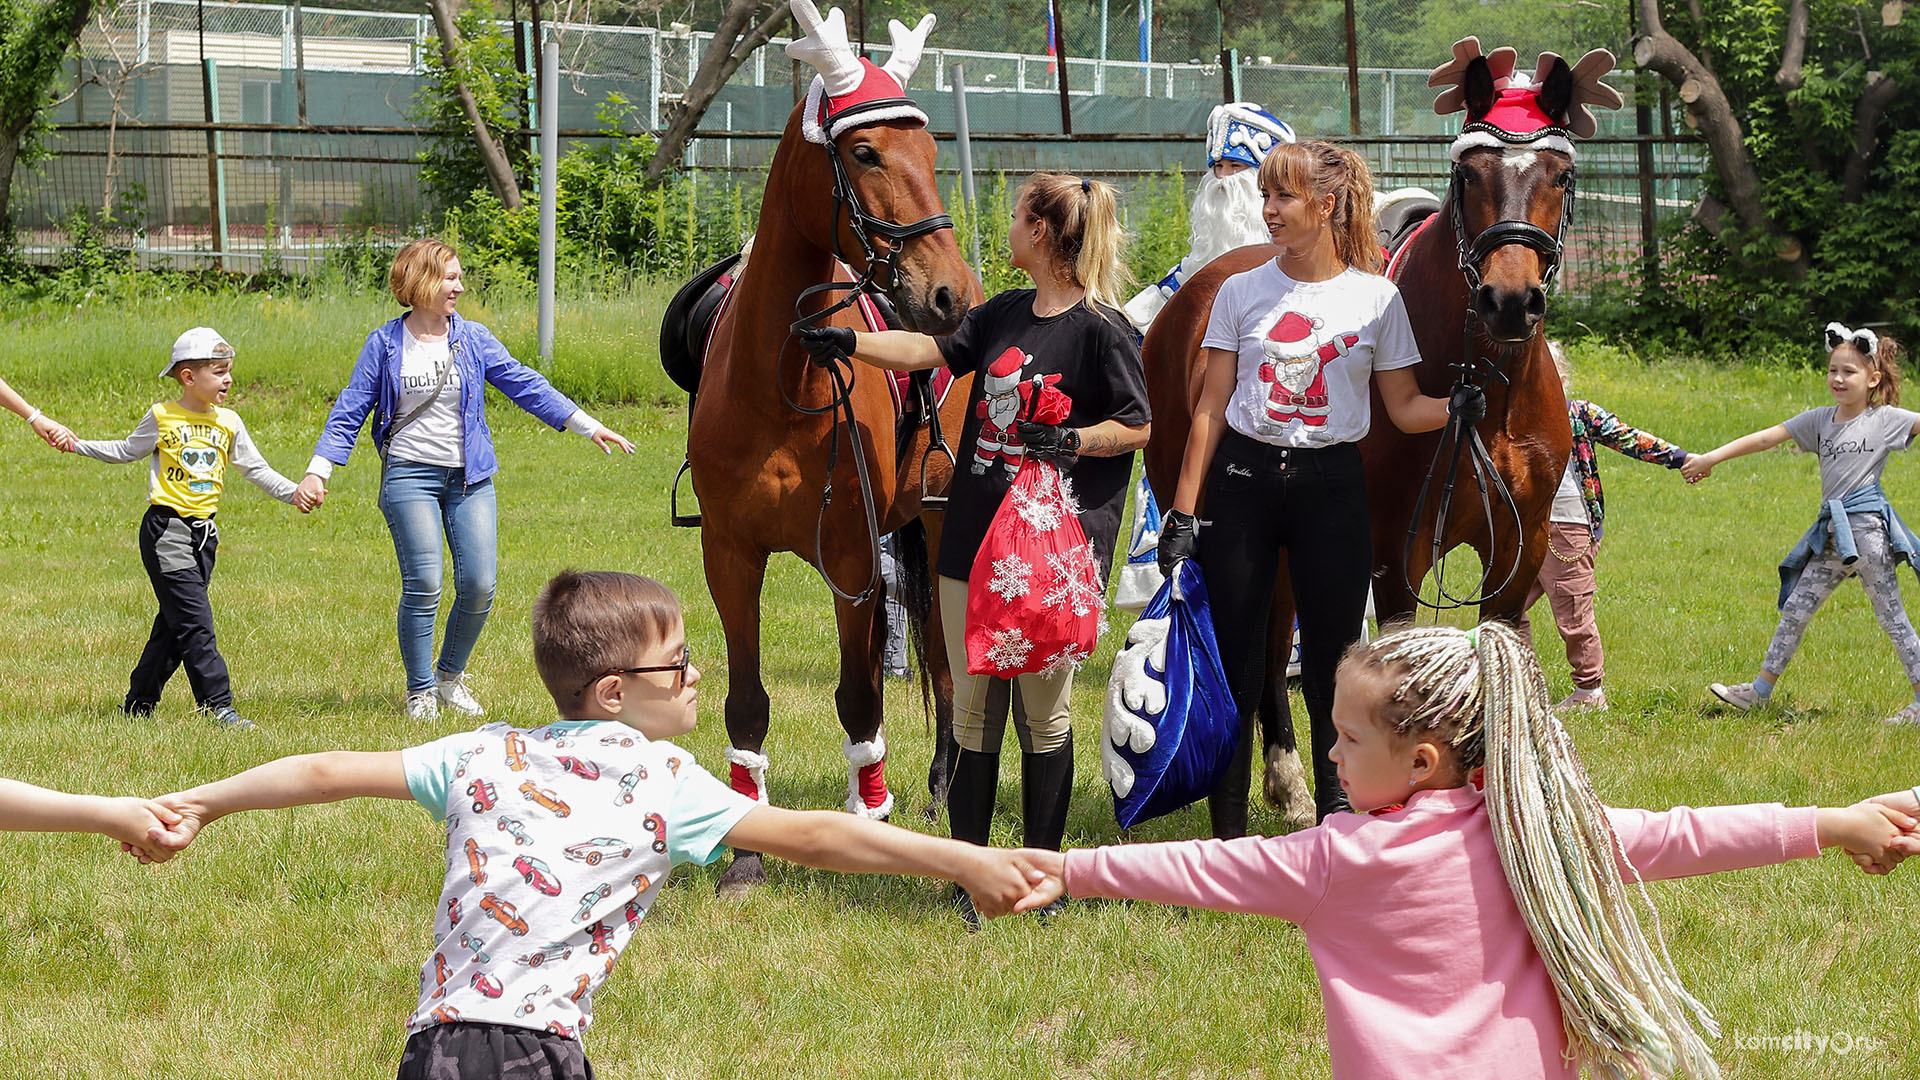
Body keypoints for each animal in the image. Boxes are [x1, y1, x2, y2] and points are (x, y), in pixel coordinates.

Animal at [687, 0, 975, 891]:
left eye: (933, 154)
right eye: (866, 151)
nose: (948, 294)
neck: (783, 380)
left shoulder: (851, 558)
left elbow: (860, 700)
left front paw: (867, 826)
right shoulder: (730, 555)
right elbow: (747, 701)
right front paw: (746, 854)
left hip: (943, 522)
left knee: (949, 666)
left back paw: (942, 791)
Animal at [1136, 39, 1620, 807]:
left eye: (1562, 174)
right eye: (1467, 173)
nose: (1509, 300)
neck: (1485, 397)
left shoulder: (1520, 555)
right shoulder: (1395, 550)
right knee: (1264, 645)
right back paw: (1286, 776)